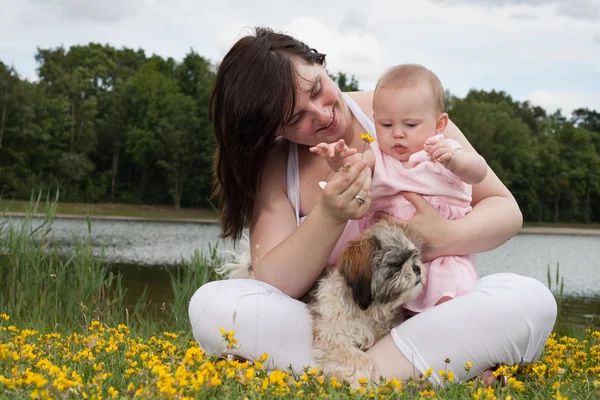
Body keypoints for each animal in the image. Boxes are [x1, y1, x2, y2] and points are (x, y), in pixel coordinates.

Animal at [310, 220, 426, 386]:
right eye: (397, 264)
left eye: (414, 258)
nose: (417, 268)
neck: (368, 309)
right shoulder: (330, 334)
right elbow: (352, 355)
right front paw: (361, 376)